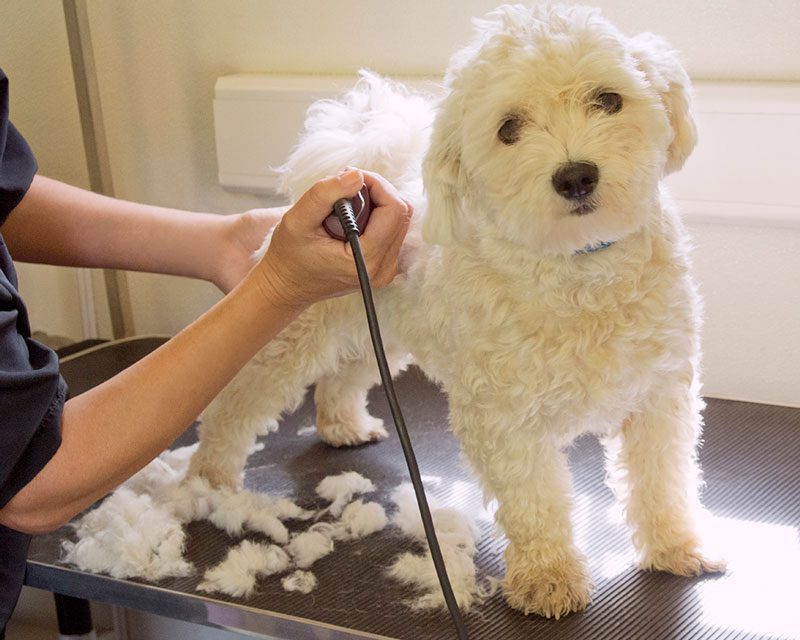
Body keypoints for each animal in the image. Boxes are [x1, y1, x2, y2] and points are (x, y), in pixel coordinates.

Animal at [189, 2, 724, 616]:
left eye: (609, 99)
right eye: (508, 129)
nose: (575, 175)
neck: (580, 267)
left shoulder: (660, 397)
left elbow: (663, 481)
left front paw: (676, 547)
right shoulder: (504, 417)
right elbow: (534, 500)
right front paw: (548, 578)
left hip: (376, 332)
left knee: (340, 378)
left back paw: (342, 425)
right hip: (288, 331)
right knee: (235, 402)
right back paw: (208, 477)